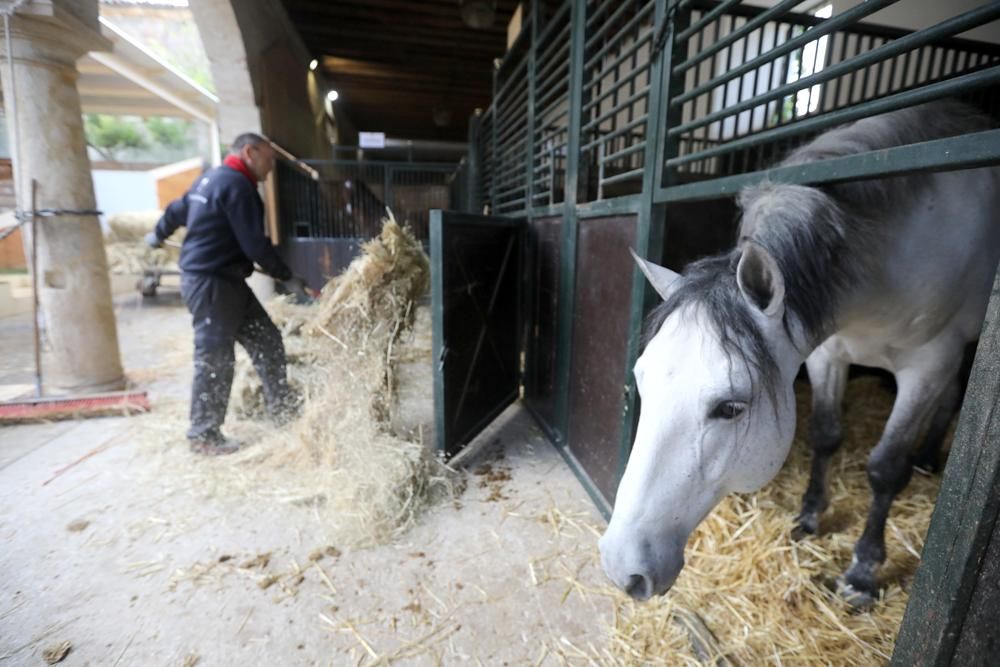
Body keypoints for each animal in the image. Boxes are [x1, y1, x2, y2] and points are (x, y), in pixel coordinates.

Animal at [596, 100, 996, 612]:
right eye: (641, 381)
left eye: (731, 408)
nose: (620, 566)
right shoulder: (827, 354)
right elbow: (825, 436)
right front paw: (808, 518)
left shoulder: (926, 366)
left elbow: (885, 469)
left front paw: (862, 573)